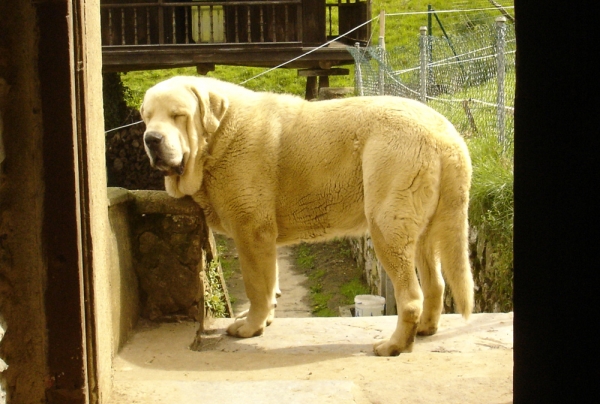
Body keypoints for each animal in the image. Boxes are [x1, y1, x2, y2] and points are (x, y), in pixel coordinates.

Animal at [141, 76, 474, 356]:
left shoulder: (251, 230)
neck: (217, 137)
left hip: (387, 222)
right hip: (424, 227)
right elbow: (269, 280)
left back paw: (394, 345)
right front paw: (264, 318)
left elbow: (256, 285)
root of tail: (446, 133)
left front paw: (250, 327)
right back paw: (425, 329)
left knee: (411, 294)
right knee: (436, 283)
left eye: (178, 115)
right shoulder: (263, 235)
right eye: (145, 116)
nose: (151, 138)